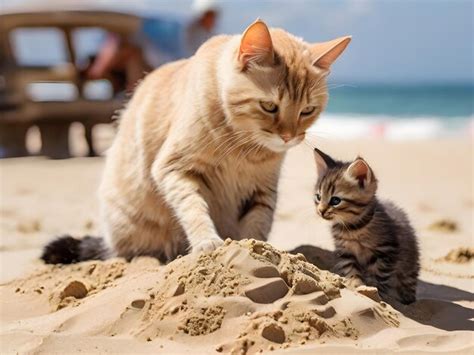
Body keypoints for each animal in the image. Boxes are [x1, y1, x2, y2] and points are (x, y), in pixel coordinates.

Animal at [41, 19, 352, 264]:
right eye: (269, 106)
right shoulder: (174, 169)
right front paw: (206, 241)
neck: (244, 147)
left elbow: (258, 221)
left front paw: (257, 249)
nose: (288, 136)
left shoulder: (263, 189)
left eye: (307, 111)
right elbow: (194, 208)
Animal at [314, 149, 418, 304]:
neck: (354, 228)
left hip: (408, 266)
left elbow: (379, 273)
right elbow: (351, 269)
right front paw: (356, 284)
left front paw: (375, 290)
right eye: (318, 197)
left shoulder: (387, 250)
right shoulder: (345, 251)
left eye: (335, 200)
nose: (321, 211)